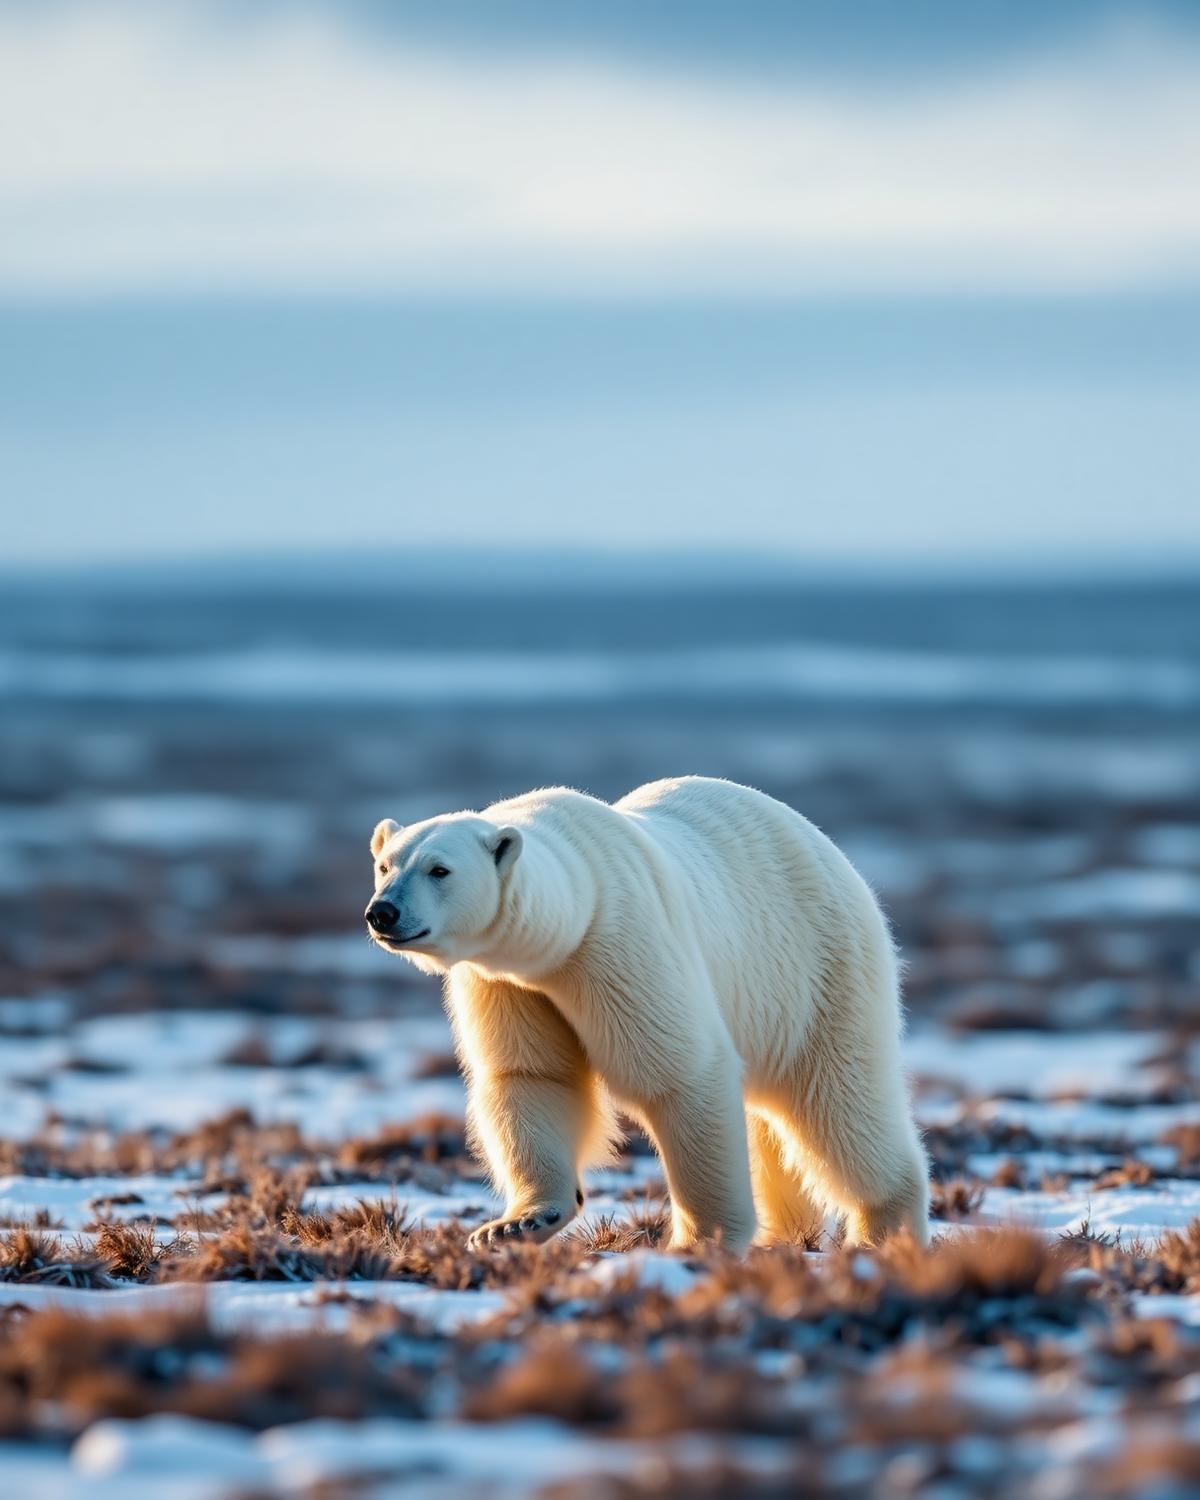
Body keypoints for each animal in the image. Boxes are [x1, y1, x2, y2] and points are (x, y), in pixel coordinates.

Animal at [365, 776, 929, 1253]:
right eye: (386, 865)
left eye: (439, 869)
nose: (382, 912)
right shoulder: (507, 983)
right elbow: (532, 1075)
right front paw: (516, 1224)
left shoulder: (619, 943)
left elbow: (678, 1073)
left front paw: (700, 1240)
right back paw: (785, 1232)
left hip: (818, 971)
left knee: (838, 1102)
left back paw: (883, 1231)